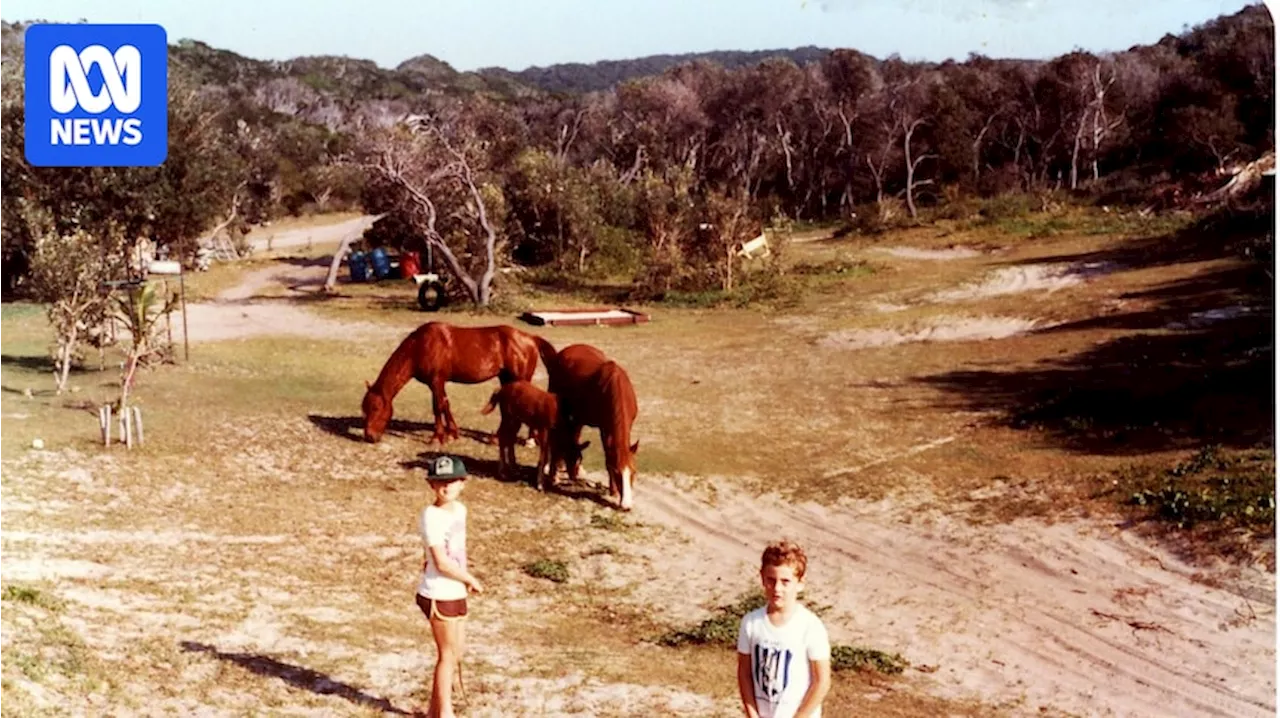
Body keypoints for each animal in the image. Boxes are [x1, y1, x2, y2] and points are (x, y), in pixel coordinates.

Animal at [363, 318, 558, 442]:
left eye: (375, 408)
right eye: (364, 409)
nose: (369, 436)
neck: (420, 346)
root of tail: (530, 338)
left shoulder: (436, 380)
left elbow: (438, 406)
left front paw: (437, 437)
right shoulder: (437, 383)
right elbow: (445, 404)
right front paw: (452, 433)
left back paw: (529, 439)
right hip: (507, 379)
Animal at [545, 340, 640, 509]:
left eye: (633, 472)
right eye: (617, 472)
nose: (626, 506)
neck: (616, 387)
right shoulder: (604, 428)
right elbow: (608, 458)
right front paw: (614, 491)